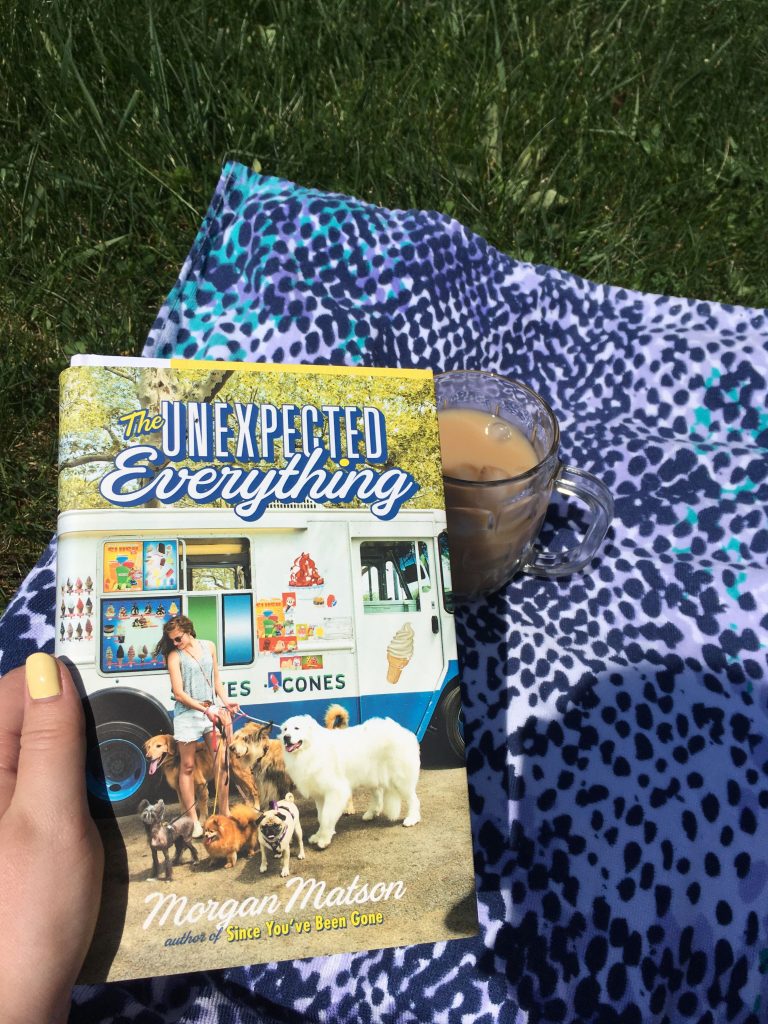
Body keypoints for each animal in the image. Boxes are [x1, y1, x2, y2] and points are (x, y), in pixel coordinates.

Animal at [280, 712, 421, 847]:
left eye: (296, 728)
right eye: (285, 729)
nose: (286, 737)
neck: (311, 749)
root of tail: (404, 731)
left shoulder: (335, 791)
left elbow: (326, 817)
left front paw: (324, 839)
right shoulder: (319, 795)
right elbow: (321, 817)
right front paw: (318, 836)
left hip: (401, 780)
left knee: (414, 800)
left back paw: (412, 819)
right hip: (372, 776)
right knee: (378, 795)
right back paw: (371, 813)